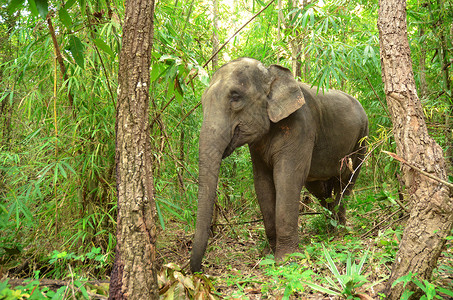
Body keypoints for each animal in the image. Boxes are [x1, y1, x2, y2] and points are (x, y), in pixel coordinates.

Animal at [189, 57, 370, 274]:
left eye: (235, 97)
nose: (199, 269)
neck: (271, 74)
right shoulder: (258, 145)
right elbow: (262, 183)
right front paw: (268, 253)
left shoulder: (301, 126)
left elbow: (287, 178)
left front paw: (286, 259)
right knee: (320, 188)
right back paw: (330, 226)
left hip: (362, 139)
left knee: (346, 182)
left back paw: (339, 231)